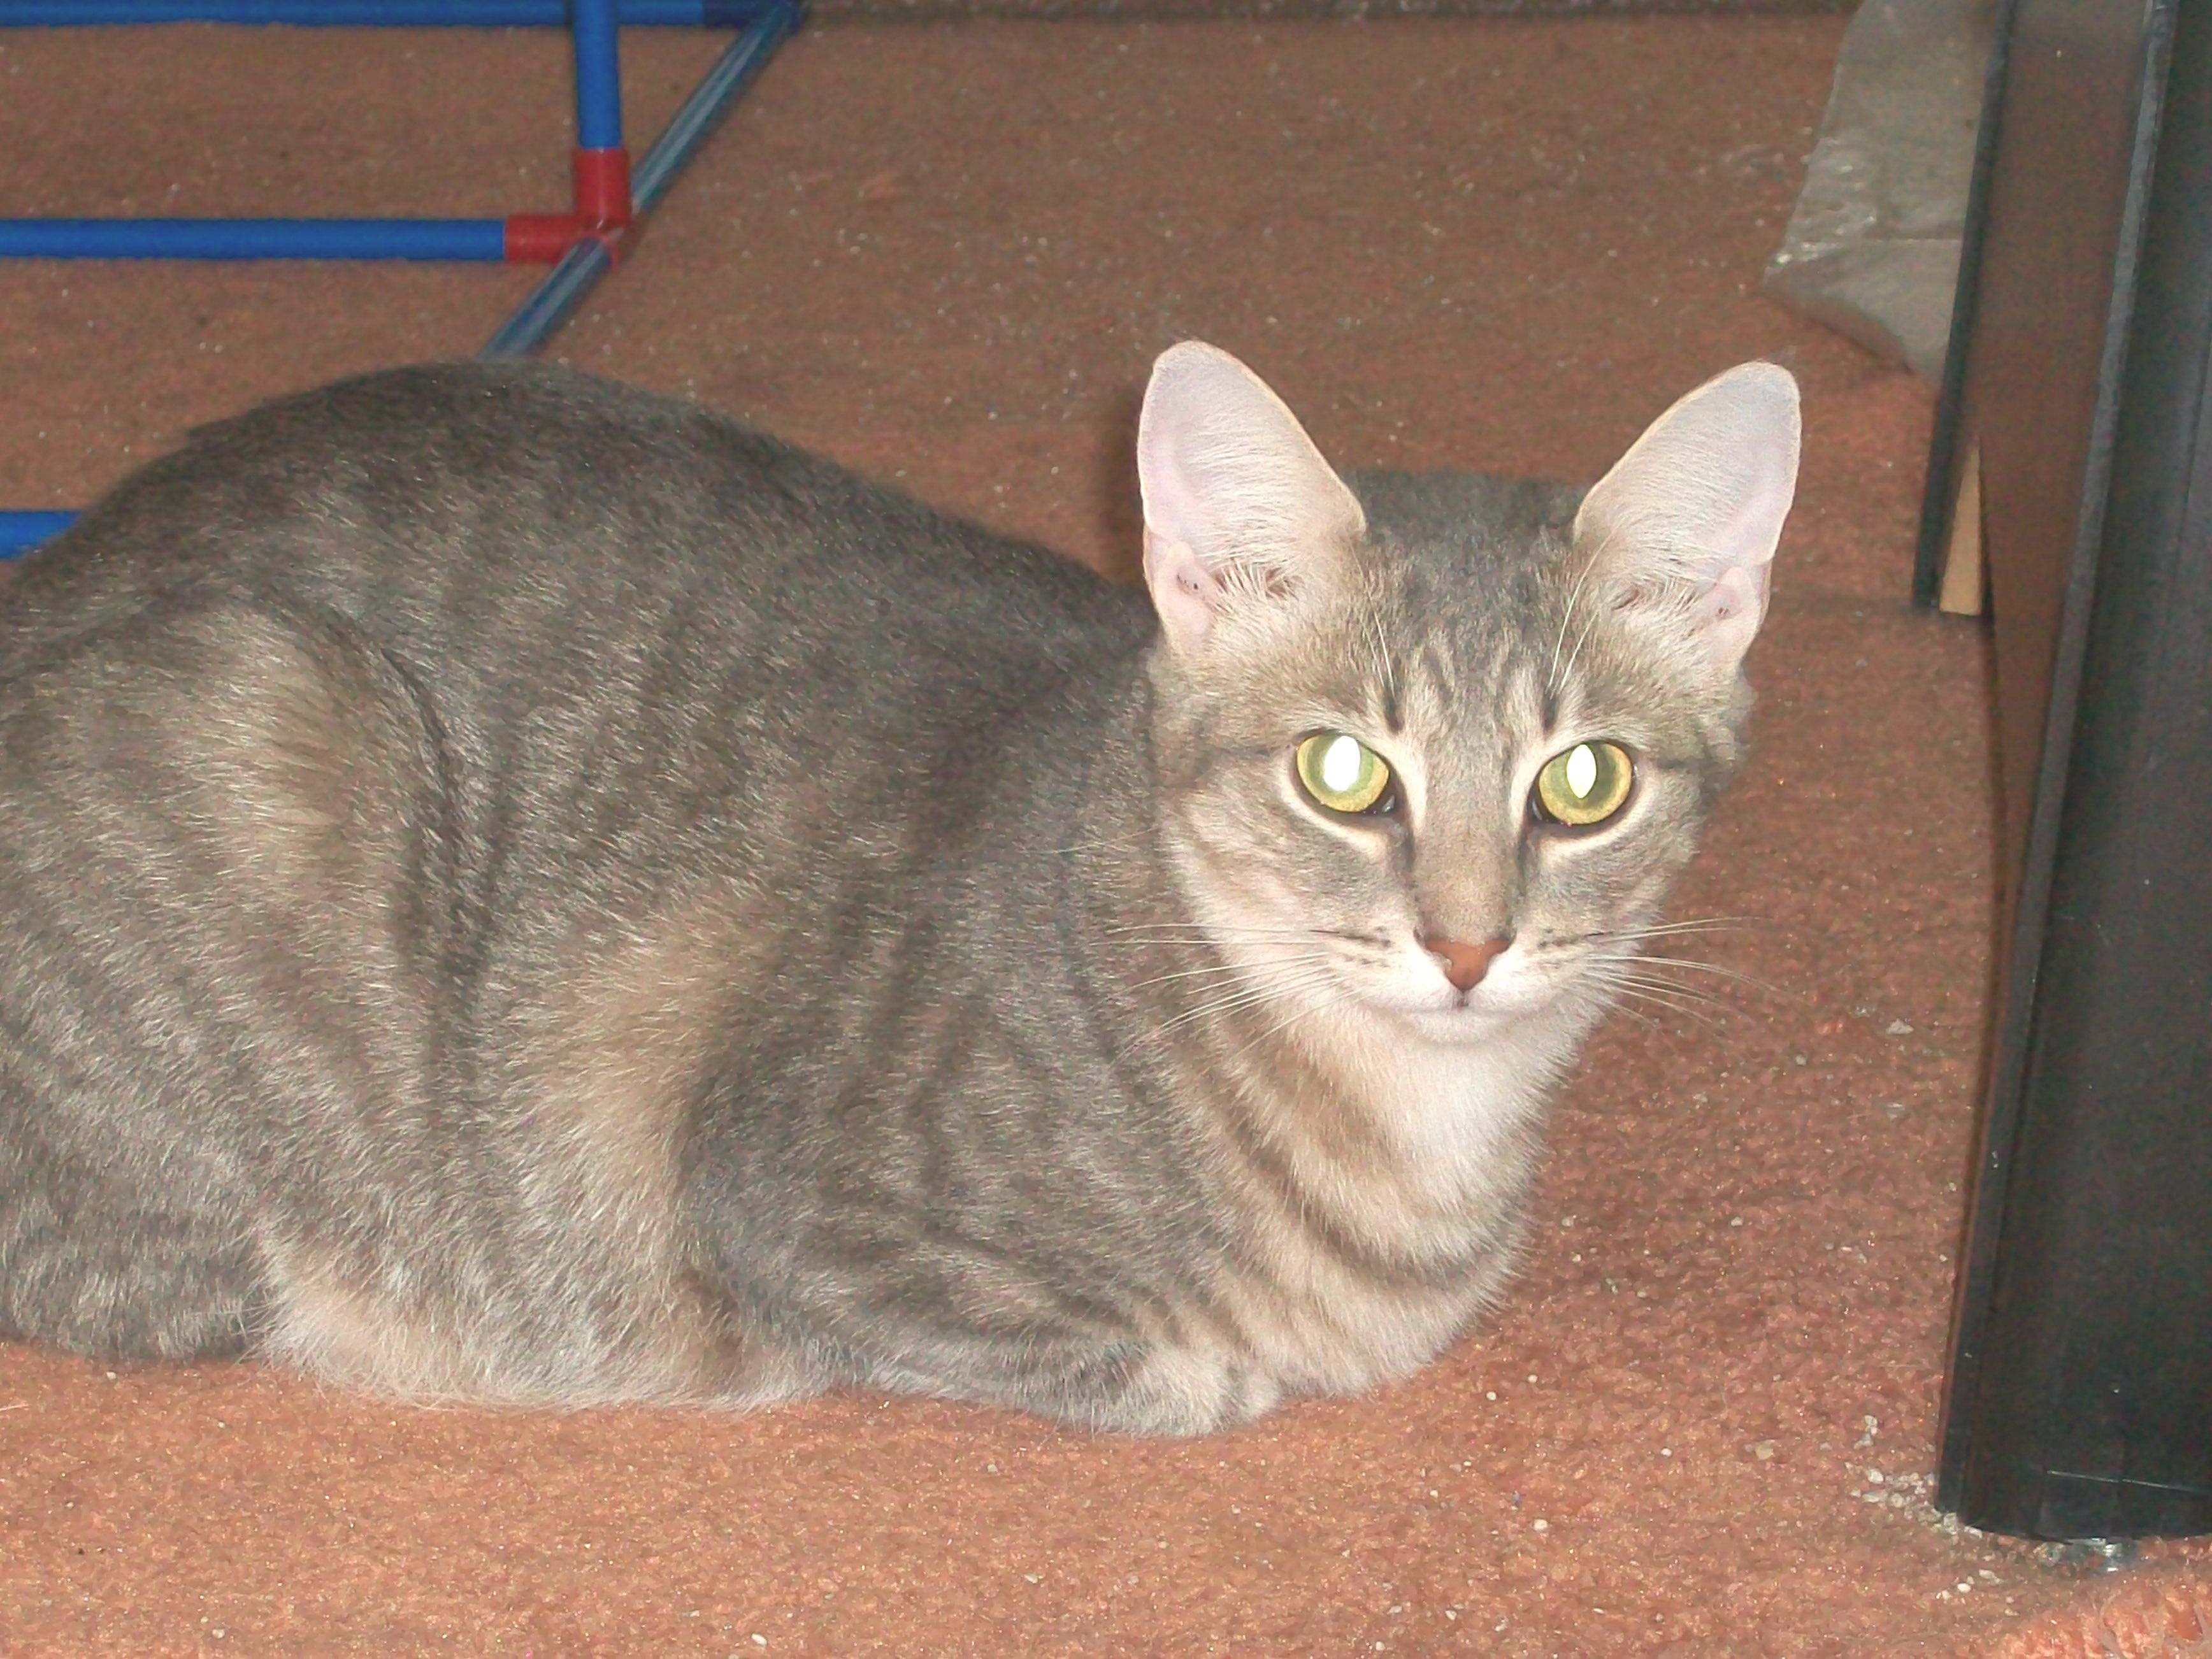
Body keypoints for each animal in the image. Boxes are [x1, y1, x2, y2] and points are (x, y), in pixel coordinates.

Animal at [0, 345, 1796, 1433]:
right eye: (1343, 774)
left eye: (1586, 783)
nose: (1468, 944)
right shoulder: (794, 1200)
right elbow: (1145, 1363)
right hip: (268, 718)